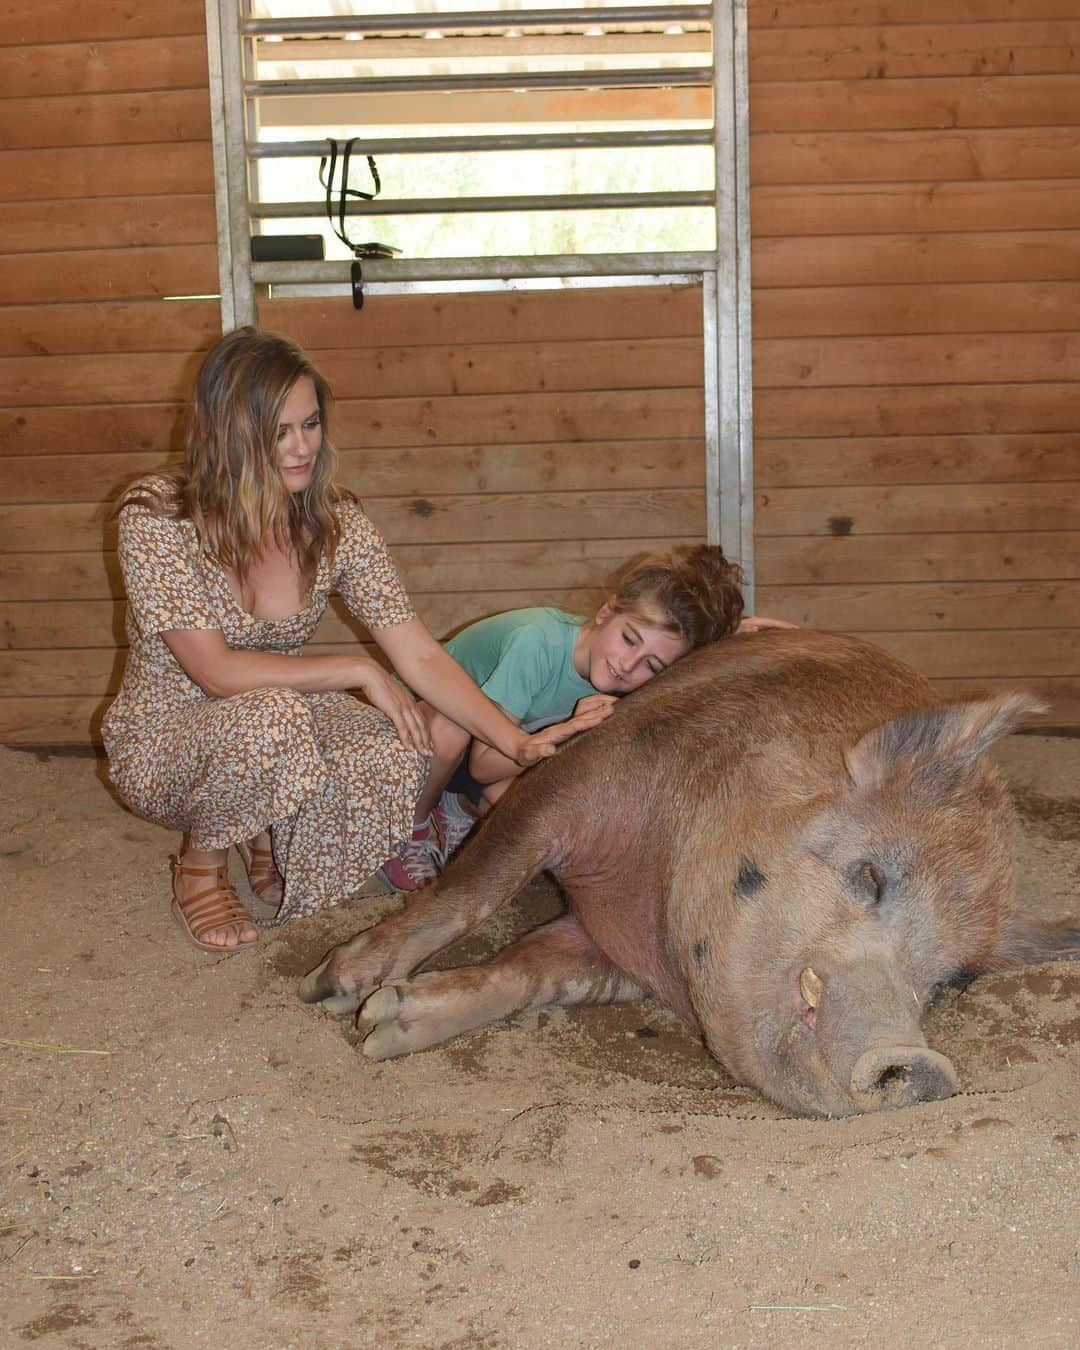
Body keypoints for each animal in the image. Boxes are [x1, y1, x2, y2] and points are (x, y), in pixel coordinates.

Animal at [297, 631, 1080, 1117]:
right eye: (870, 876)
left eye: (948, 982)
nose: (918, 1064)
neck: (645, 893)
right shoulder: (572, 776)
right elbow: (477, 886)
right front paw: (333, 994)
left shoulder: (611, 951)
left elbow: (530, 974)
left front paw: (382, 1028)